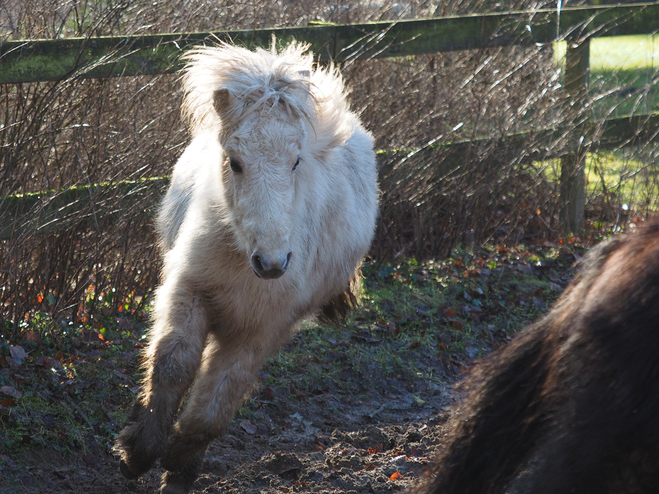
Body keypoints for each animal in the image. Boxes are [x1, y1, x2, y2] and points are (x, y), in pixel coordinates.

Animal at [116, 42, 378, 494]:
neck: (241, 262)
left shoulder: (262, 330)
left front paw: (178, 463)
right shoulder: (189, 291)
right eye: (234, 161)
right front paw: (138, 452)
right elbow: (172, 364)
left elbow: (217, 404)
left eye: (296, 161)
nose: (271, 263)